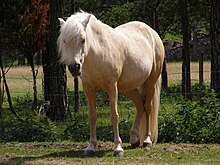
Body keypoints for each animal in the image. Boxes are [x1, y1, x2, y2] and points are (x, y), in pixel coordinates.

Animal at [57, 11, 164, 156]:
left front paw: (118, 148)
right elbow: (92, 117)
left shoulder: (112, 88)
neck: (97, 54)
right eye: (64, 41)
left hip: (150, 82)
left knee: (147, 107)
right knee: (140, 105)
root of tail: (152, 32)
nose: (74, 67)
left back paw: (147, 141)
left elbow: (114, 116)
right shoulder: (88, 89)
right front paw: (91, 147)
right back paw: (134, 139)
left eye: (83, 39)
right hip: (128, 88)